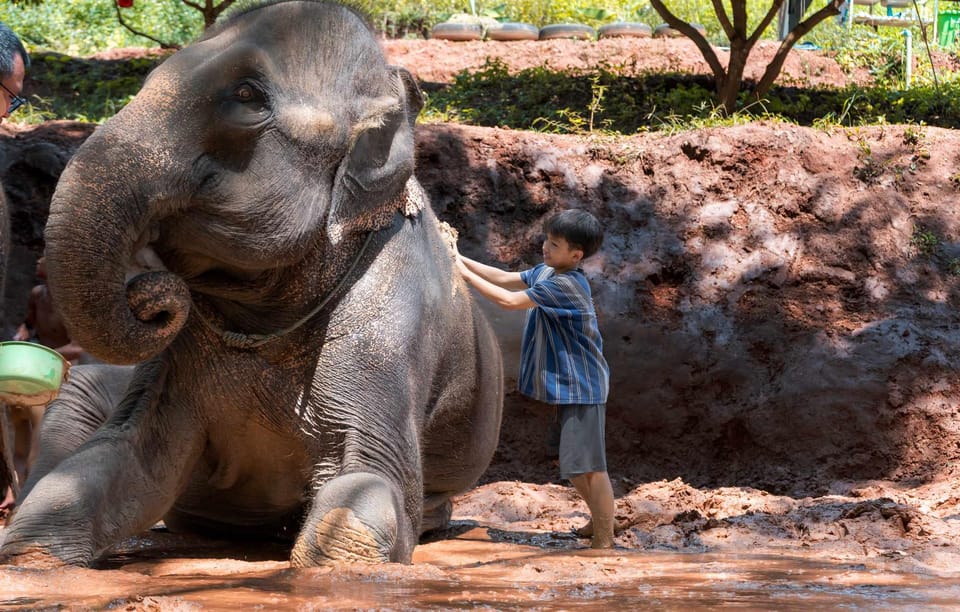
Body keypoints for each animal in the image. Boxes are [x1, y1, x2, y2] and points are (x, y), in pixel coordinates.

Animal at [0, 0, 506, 568]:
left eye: (246, 96)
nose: (152, 291)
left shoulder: (395, 319)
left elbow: (368, 491)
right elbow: (121, 461)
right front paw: (31, 560)